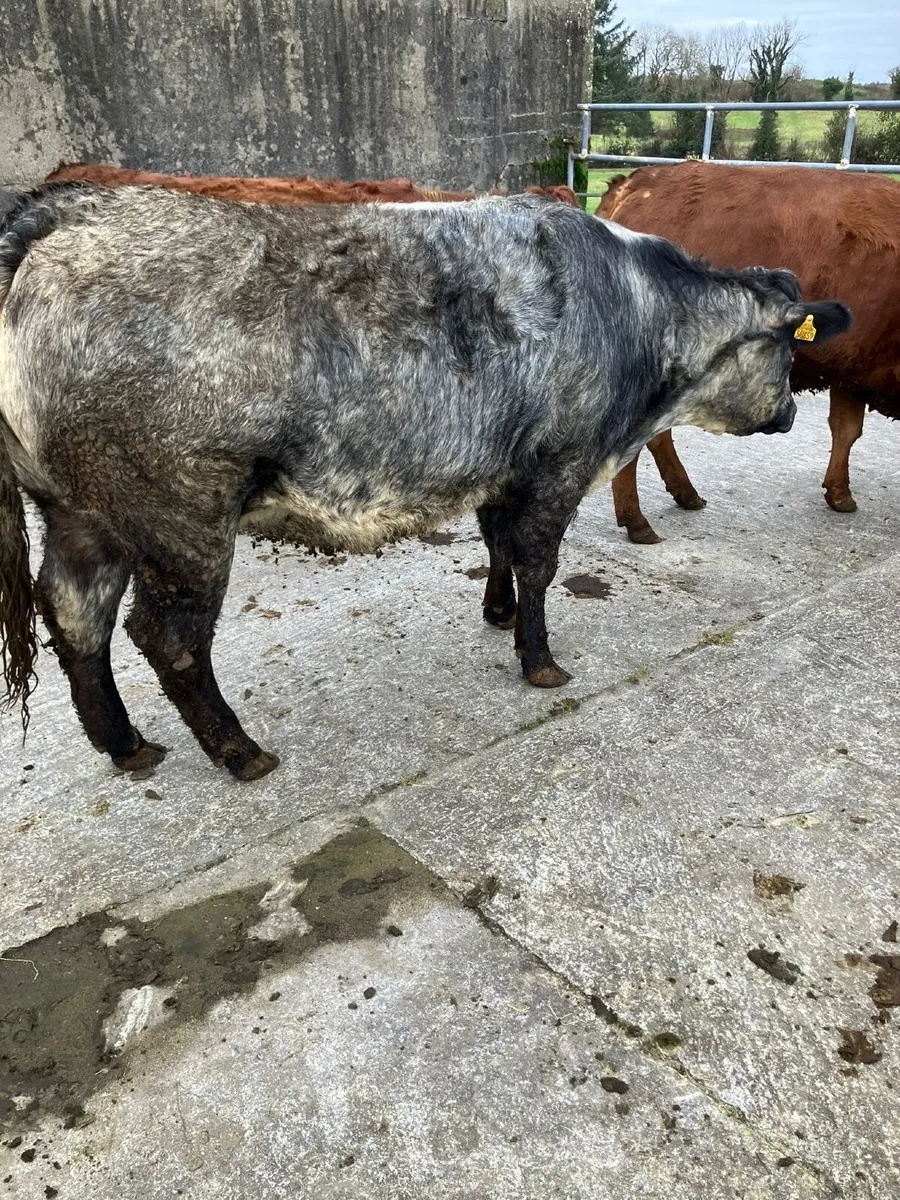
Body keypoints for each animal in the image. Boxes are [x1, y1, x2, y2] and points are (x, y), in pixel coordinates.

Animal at [0, 184, 849, 779]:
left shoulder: (504, 466)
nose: (789, 417)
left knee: (75, 615)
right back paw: (239, 752)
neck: (639, 311)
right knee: (164, 636)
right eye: (789, 350)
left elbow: (499, 543)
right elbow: (539, 560)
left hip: (80, 511)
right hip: (180, 514)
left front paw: (498, 613)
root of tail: (64, 213)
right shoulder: (561, 463)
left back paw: (125, 744)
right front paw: (539, 660)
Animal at [599, 161, 900, 543]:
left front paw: (839, 493)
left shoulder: (851, 371)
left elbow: (846, 430)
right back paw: (637, 522)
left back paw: (685, 494)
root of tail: (636, 181)